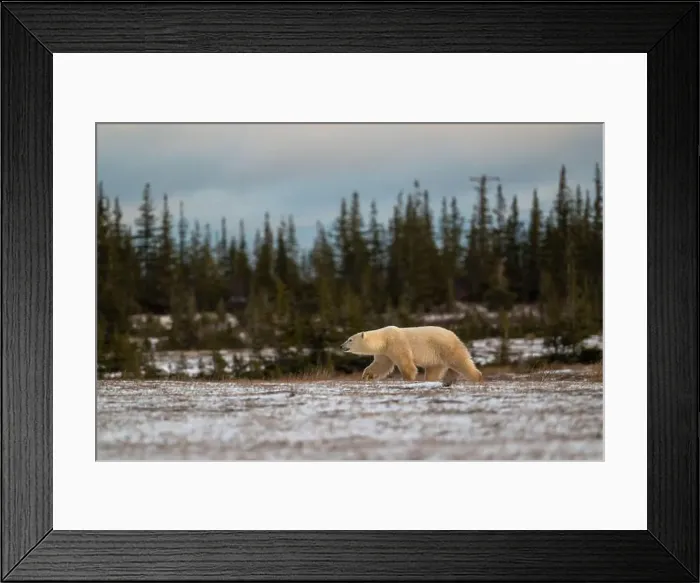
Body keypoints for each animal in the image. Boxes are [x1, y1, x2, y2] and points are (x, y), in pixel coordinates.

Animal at [340, 325, 483, 386]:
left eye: (350, 339)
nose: (341, 346)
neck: (384, 338)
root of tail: (455, 335)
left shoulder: (396, 343)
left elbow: (406, 363)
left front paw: (408, 379)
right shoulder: (385, 352)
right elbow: (381, 365)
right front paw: (367, 375)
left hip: (445, 347)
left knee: (461, 361)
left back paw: (477, 377)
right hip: (436, 356)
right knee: (434, 370)